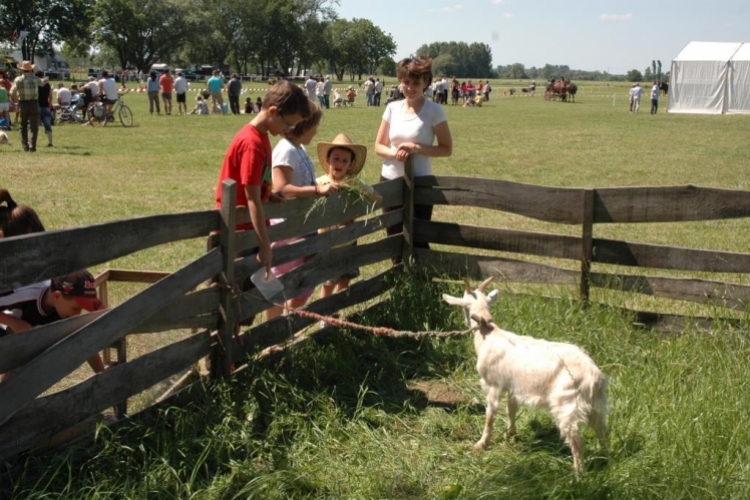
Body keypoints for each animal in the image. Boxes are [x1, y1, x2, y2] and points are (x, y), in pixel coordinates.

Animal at [444, 278, 608, 476]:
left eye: (463, 307)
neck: (489, 336)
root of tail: (594, 376)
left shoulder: (494, 384)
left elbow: (490, 414)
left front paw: (481, 444)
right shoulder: (514, 386)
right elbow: (511, 409)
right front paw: (510, 434)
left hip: (567, 403)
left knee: (577, 440)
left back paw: (578, 475)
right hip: (596, 404)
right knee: (602, 430)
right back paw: (605, 459)